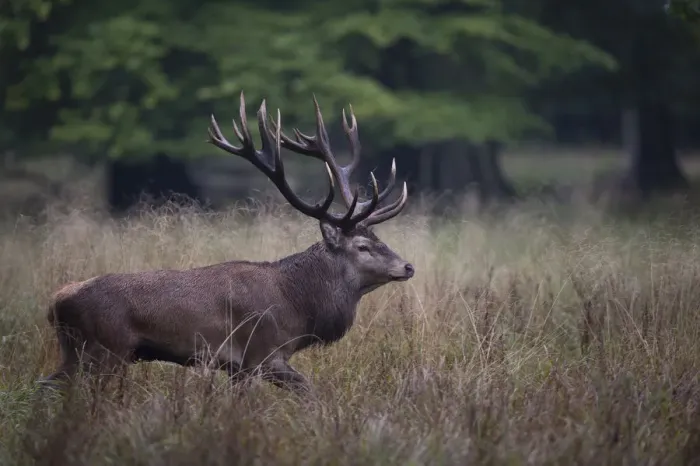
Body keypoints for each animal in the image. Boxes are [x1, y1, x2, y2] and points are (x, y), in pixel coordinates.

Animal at [39, 92, 414, 396]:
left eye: (380, 239)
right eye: (363, 246)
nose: (408, 266)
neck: (297, 306)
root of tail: (56, 302)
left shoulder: (238, 367)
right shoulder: (259, 354)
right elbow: (308, 392)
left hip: (79, 351)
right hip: (105, 348)